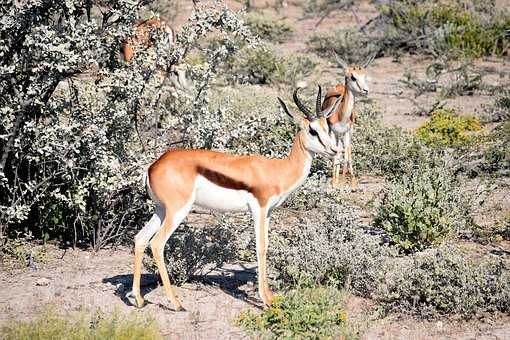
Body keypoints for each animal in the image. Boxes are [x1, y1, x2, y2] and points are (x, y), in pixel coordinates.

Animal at [127, 86, 342, 310]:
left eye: (327, 127)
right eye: (313, 130)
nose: (335, 150)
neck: (278, 170)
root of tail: (152, 167)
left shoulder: (268, 213)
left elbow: (266, 246)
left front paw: (271, 297)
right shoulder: (258, 209)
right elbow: (260, 247)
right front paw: (265, 300)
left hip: (161, 211)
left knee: (140, 239)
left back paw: (139, 299)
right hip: (178, 212)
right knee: (157, 244)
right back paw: (176, 303)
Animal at [322, 54, 374, 190]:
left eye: (364, 76)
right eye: (353, 77)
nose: (366, 90)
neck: (341, 115)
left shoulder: (348, 131)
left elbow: (346, 155)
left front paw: (348, 183)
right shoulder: (333, 132)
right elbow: (336, 155)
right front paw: (335, 183)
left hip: (347, 134)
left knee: (346, 151)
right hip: (335, 134)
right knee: (338, 151)